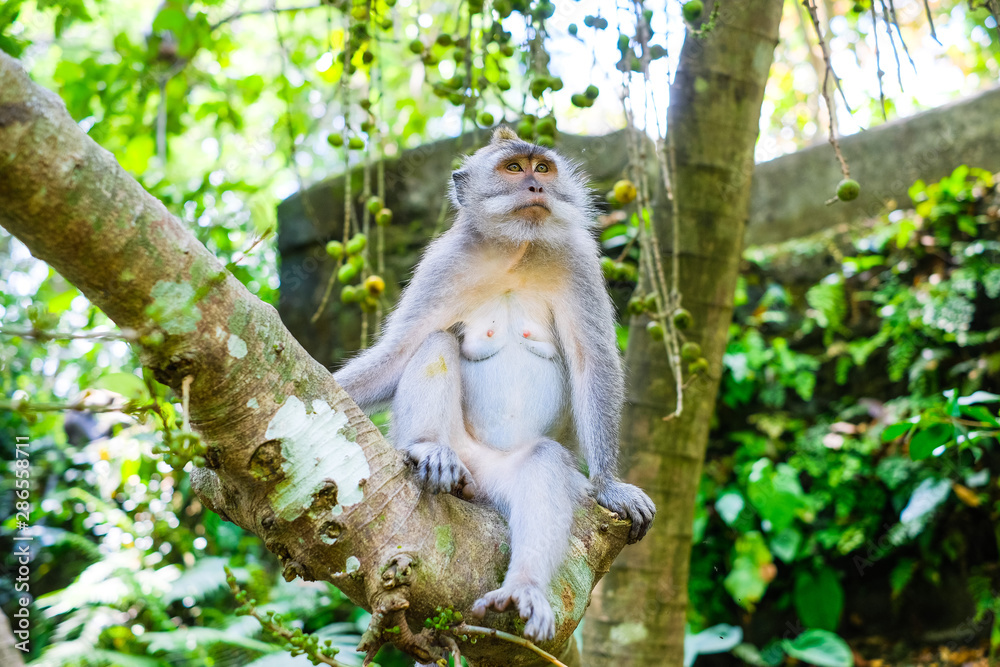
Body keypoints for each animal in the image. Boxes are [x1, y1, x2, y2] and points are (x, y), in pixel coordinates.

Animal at [334, 126, 655, 642]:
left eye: (542, 168)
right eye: (513, 169)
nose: (536, 186)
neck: (516, 251)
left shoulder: (579, 260)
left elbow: (594, 364)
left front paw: (609, 484)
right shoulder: (444, 262)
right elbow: (399, 352)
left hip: (500, 477)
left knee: (544, 463)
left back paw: (523, 586)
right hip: (465, 451)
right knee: (436, 341)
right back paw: (430, 451)